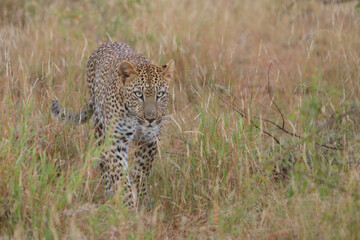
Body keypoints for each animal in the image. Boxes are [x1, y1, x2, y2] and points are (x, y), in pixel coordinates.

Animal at [50, 41, 174, 208]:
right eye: (138, 94)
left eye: (160, 94)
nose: (150, 119)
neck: (135, 117)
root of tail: (109, 42)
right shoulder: (116, 141)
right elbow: (120, 174)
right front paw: (128, 205)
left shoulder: (150, 140)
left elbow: (142, 172)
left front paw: (141, 200)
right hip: (100, 129)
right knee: (104, 164)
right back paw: (109, 194)